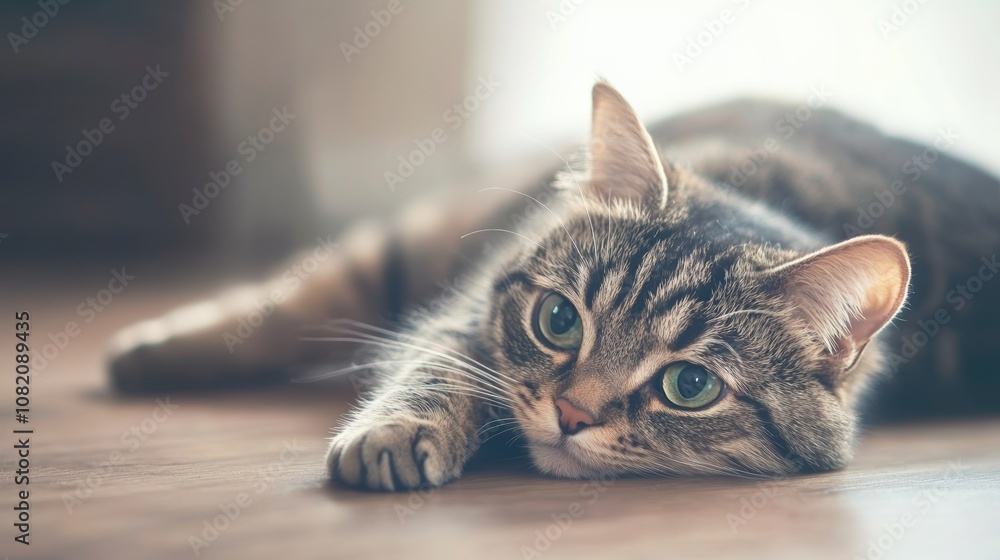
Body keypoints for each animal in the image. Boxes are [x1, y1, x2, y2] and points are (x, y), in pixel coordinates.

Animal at [107, 80, 1000, 490]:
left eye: (689, 385)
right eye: (560, 322)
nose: (570, 414)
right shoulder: (465, 317)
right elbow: (431, 368)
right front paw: (395, 433)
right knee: (300, 294)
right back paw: (148, 351)